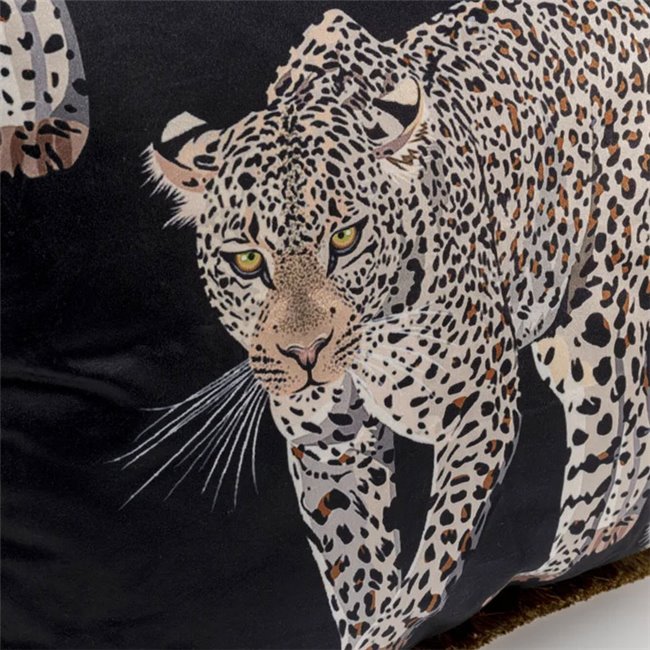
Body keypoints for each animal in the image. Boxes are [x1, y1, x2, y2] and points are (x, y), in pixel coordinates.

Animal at [139, 1, 650, 648]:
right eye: (248, 260)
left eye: (345, 237)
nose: (306, 353)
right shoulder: (330, 446)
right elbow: (355, 568)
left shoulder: (478, 408)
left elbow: (433, 562)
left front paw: (393, 626)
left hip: (600, 313)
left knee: (618, 416)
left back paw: (591, 541)